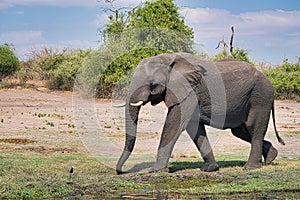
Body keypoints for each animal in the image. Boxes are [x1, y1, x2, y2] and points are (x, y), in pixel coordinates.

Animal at [116, 52, 284, 174]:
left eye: (152, 83)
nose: (120, 171)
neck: (168, 59)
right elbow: (194, 127)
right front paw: (209, 169)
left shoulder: (190, 91)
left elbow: (175, 122)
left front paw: (156, 170)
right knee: (240, 131)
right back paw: (271, 157)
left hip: (260, 96)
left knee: (253, 128)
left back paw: (251, 167)